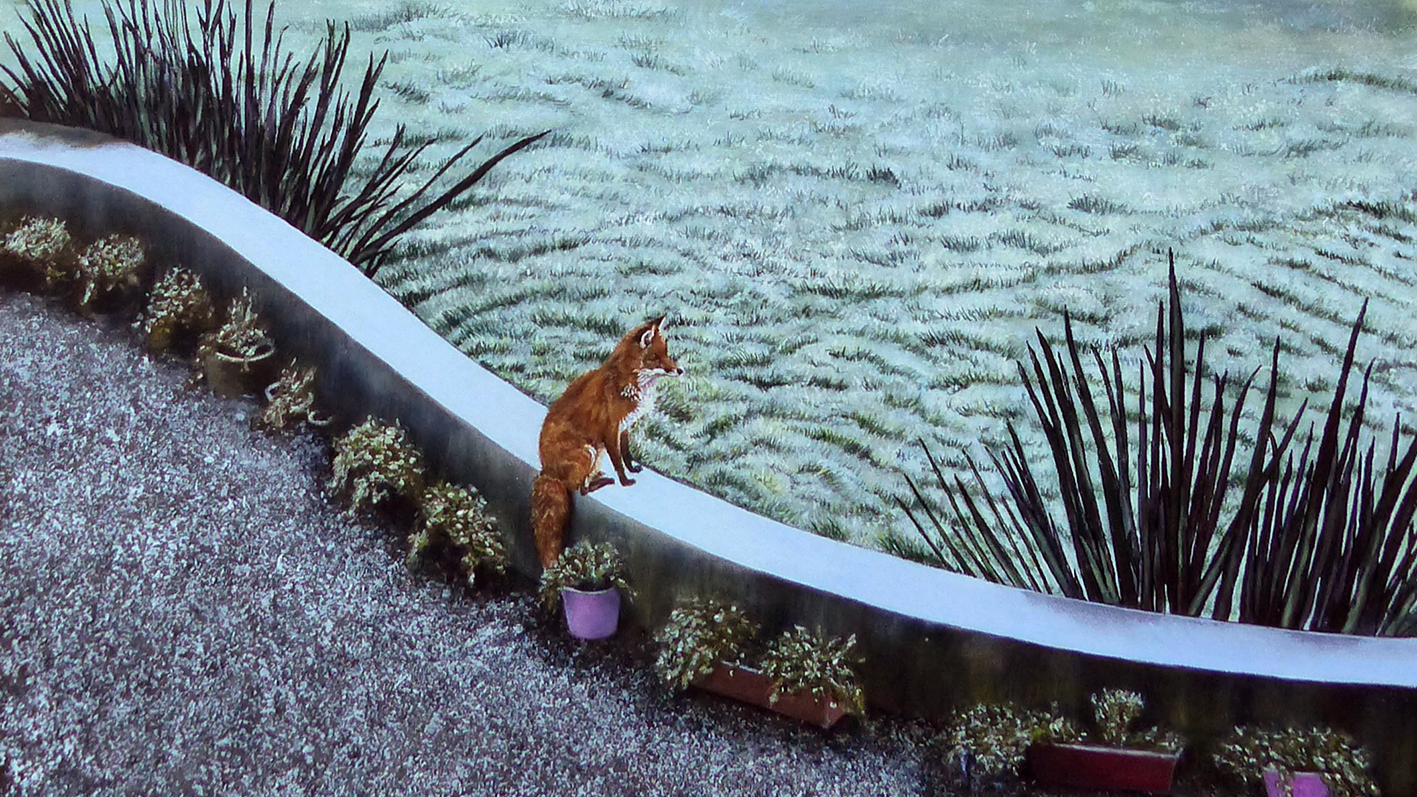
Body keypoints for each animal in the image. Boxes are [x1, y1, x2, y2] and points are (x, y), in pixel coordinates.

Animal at [532, 315, 684, 567]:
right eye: (655, 358)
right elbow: (618, 461)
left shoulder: (624, 428)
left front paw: (633, 469)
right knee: (579, 489)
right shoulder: (610, 430)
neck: (629, 384)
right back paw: (602, 481)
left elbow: (626, 454)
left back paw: (598, 476)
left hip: (594, 454)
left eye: (668, 353)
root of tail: (546, 470)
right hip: (589, 451)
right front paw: (625, 481)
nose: (680, 370)